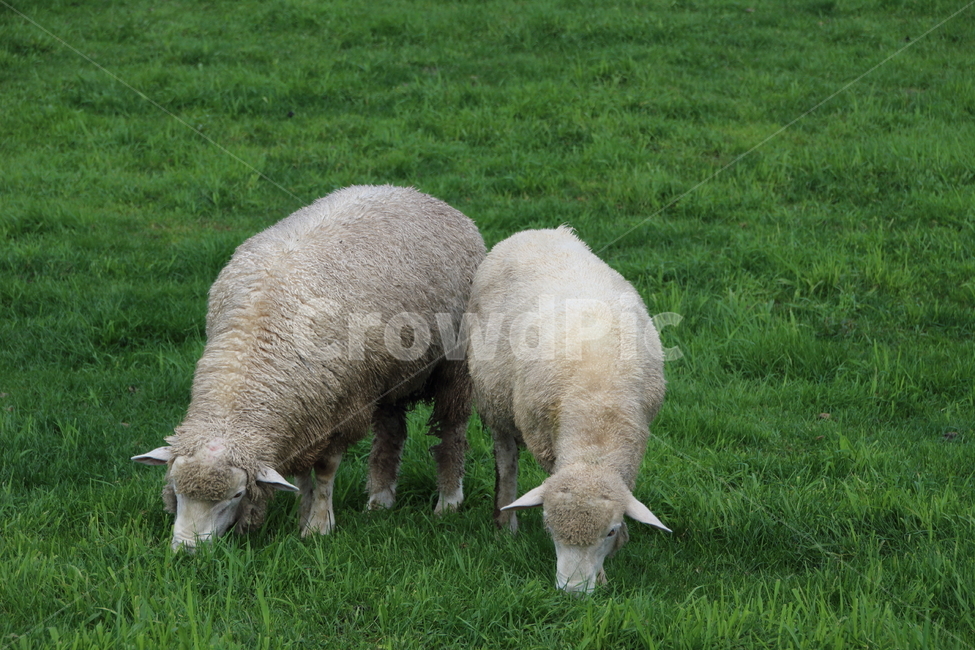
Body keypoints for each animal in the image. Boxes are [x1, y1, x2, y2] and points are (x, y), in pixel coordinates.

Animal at [132, 185, 486, 551]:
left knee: (452, 427)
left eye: (237, 495)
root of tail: (413, 192)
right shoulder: (304, 410)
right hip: (386, 374)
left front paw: (318, 526)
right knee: (391, 431)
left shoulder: (341, 406)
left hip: (453, 364)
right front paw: (302, 514)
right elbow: (302, 474)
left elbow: (326, 469)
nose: (186, 551)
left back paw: (448, 500)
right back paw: (380, 499)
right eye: (175, 490)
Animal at [465, 225, 671, 594]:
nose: (572, 591)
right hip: (494, 399)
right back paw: (505, 522)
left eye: (610, 531)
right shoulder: (545, 440)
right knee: (505, 459)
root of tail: (535, 231)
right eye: (548, 525)